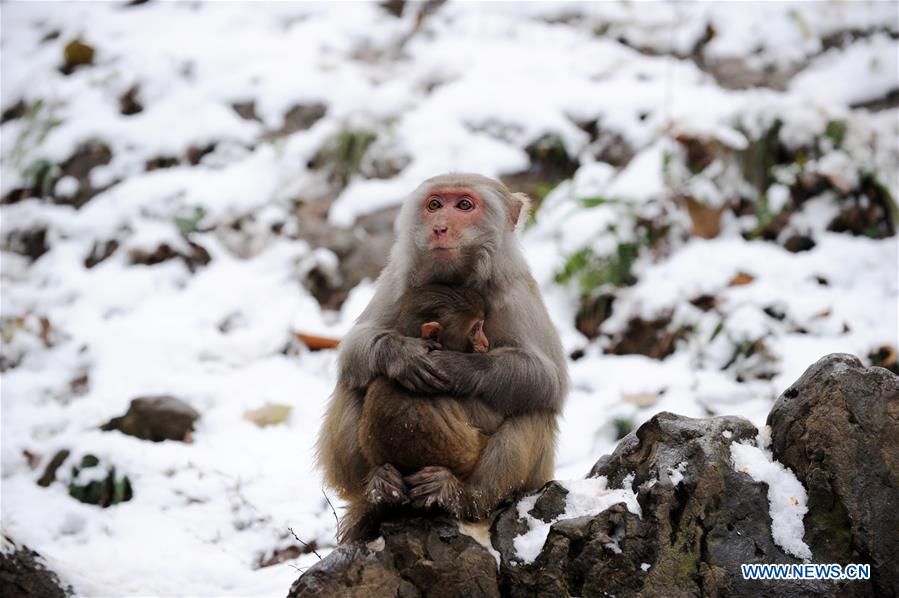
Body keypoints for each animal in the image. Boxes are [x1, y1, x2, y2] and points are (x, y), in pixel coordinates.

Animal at [318, 173, 568, 544]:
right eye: (435, 204)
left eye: (464, 205)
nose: (439, 227)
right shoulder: (398, 278)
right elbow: (354, 348)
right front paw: (403, 356)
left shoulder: (515, 292)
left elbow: (549, 381)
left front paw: (457, 367)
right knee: (354, 381)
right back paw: (378, 488)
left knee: (533, 408)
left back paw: (460, 496)